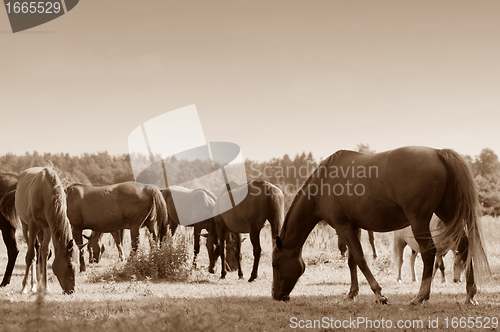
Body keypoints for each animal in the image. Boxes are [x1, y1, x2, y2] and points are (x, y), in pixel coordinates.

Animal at [272, 147, 490, 304]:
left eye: (275, 264)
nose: (276, 295)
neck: (323, 182)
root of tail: (438, 153)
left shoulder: (343, 227)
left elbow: (360, 258)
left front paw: (378, 294)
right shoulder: (353, 227)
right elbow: (352, 261)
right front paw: (352, 293)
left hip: (420, 220)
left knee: (429, 253)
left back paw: (420, 296)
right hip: (448, 215)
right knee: (464, 246)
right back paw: (470, 294)